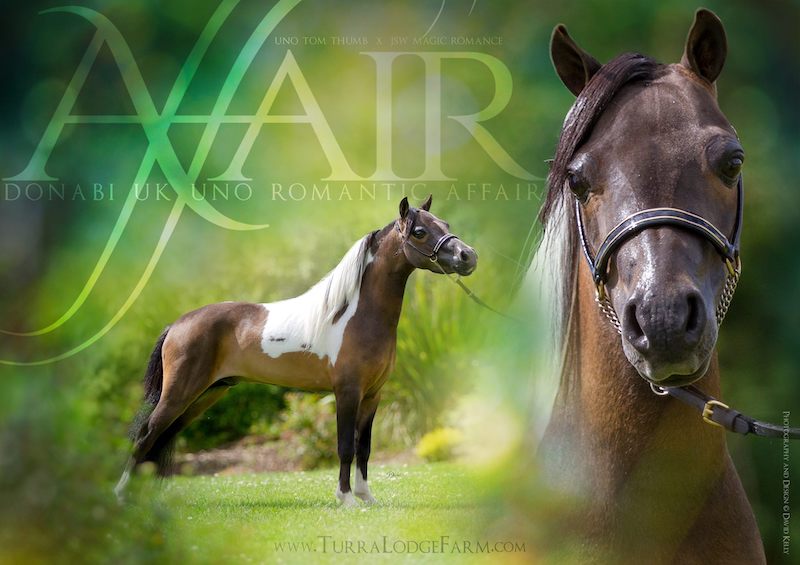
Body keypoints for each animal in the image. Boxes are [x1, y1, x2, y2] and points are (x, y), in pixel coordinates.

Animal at [115, 195, 477, 507]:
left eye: (444, 223)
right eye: (420, 231)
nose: (468, 256)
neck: (355, 315)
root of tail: (178, 324)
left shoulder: (373, 395)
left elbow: (365, 447)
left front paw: (367, 497)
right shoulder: (347, 392)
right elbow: (345, 446)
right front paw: (346, 499)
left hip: (206, 394)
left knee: (162, 436)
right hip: (180, 393)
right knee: (146, 434)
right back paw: (120, 495)